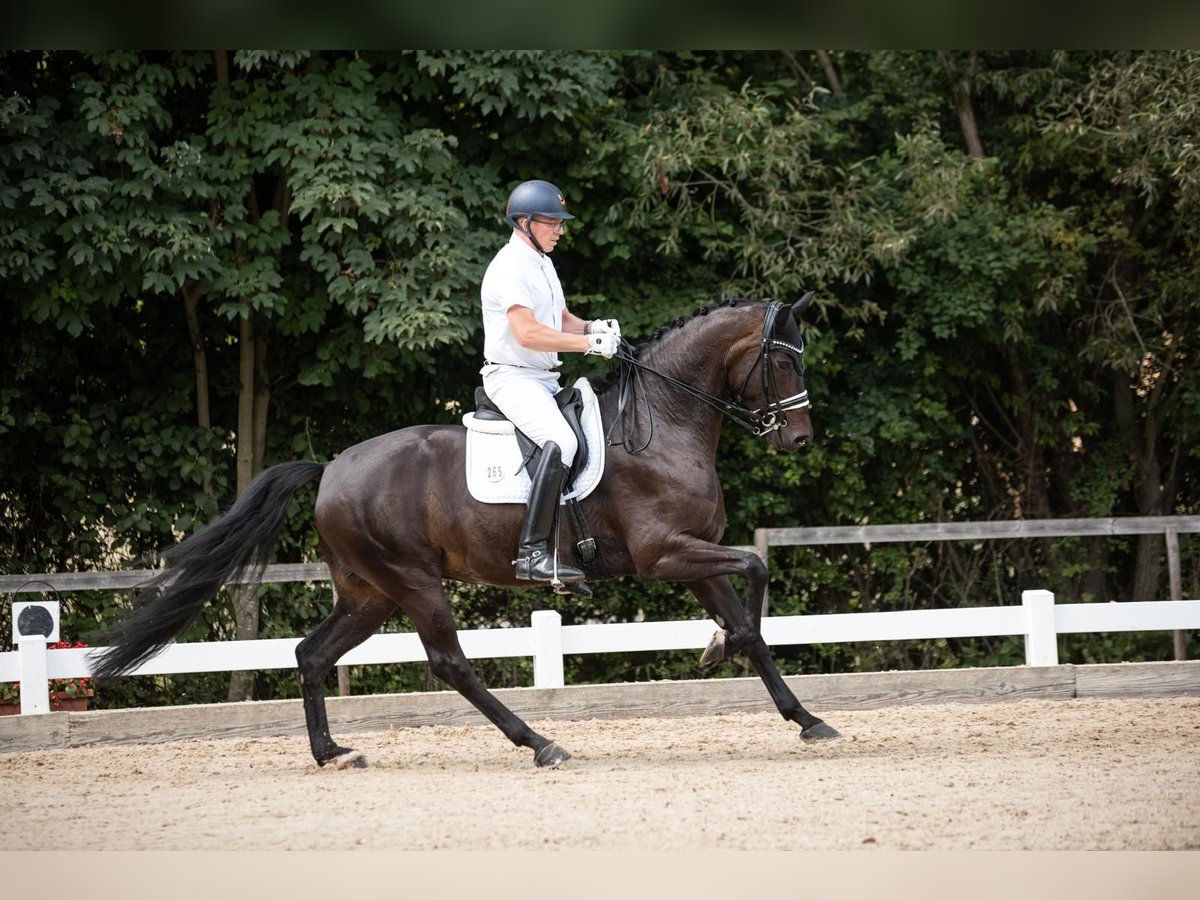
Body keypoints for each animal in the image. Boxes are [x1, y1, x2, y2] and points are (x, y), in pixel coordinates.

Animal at [93, 296, 840, 768]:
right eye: (785, 361)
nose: (801, 440)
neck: (664, 422)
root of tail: (331, 467)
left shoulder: (695, 557)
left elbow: (750, 614)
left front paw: (804, 717)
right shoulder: (666, 555)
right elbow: (756, 572)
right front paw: (720, 649)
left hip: (370, 593)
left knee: (311, 654)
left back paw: (332, 753)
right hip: (415, 582)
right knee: (449, 663)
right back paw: (539, 744)